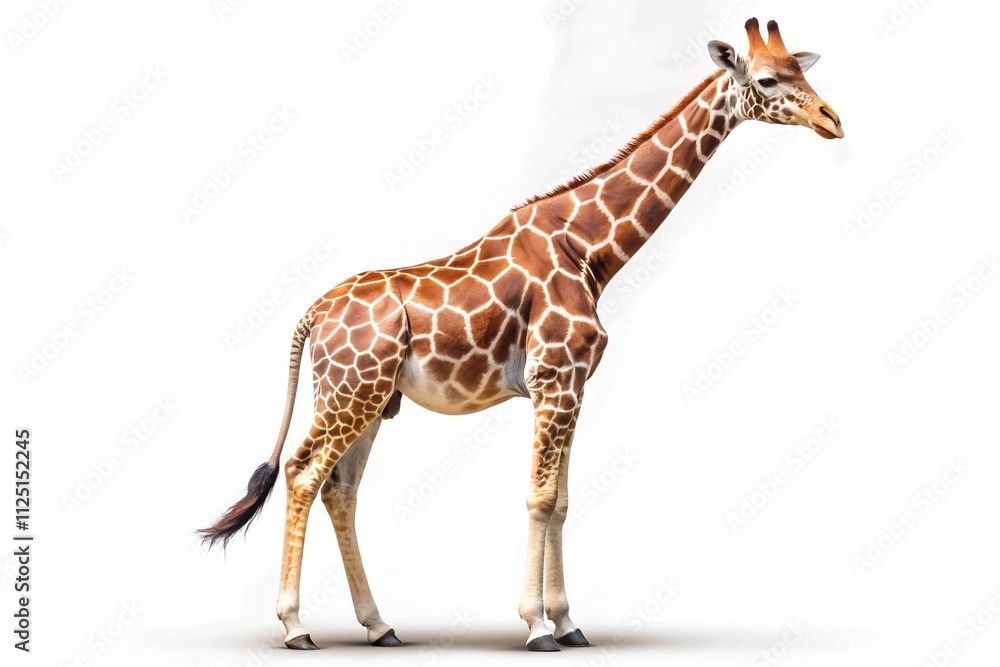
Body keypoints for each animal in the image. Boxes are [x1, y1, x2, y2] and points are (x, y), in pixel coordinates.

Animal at [199, 18, 842, 652]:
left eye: (800, 67)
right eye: (767, 78)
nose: (832, 120)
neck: (592, 249)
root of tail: (311, 313)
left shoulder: (575, 386)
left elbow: (561, 501)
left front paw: (568, 622)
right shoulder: (552, 378)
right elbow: (539, 496)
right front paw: (536, 627)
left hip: (372, 399)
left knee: (341, 488)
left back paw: (380, 625)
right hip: (349, 392)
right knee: (303, 473)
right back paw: (295, 626)